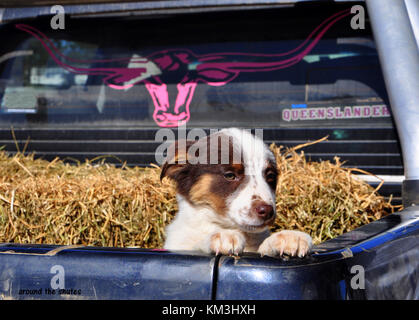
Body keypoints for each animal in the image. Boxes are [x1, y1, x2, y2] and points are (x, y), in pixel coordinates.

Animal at [161, 128, 312, 258]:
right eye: (230, 175)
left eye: (270, 176)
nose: (267, 211)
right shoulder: (180, 245)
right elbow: (196, 245)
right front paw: (223, 235)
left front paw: (289, 236)